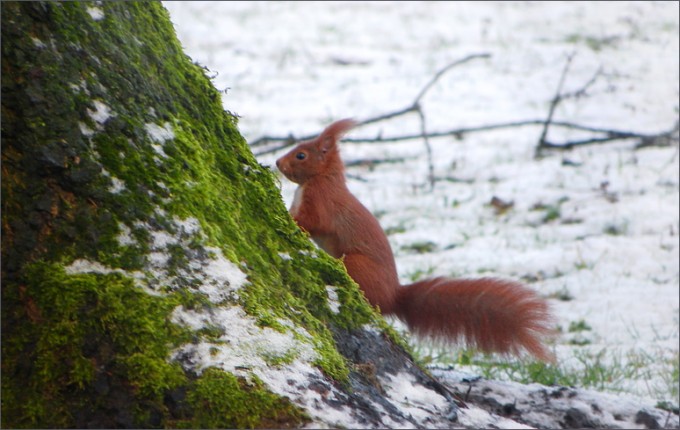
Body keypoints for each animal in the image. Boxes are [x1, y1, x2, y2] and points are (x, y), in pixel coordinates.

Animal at [276, 119, 555, 362]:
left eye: (301, 155)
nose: (278, 162)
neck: (322, 177)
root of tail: (393, 297)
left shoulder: (322, 201)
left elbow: (313, 222)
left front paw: (290, 220)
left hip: (356, 264)